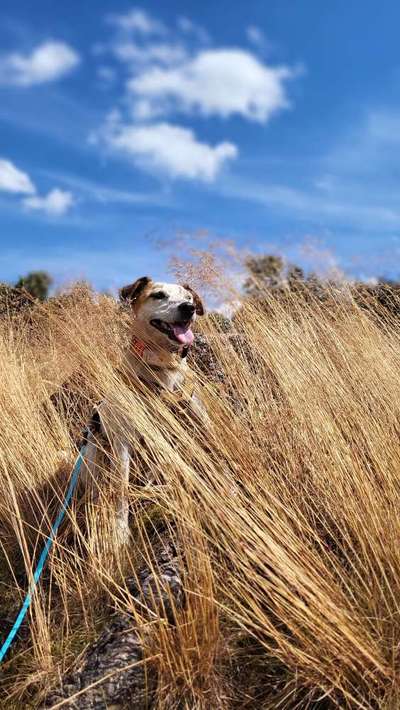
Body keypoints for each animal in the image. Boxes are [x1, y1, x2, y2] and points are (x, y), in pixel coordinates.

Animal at [82, 276, 205, 544]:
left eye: (188, 297)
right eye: (158, 295)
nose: (188, 308)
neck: (162, 366)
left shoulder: (197, 423)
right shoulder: (123, 444)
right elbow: (121, 490)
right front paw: (120, 531)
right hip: (93, 453)